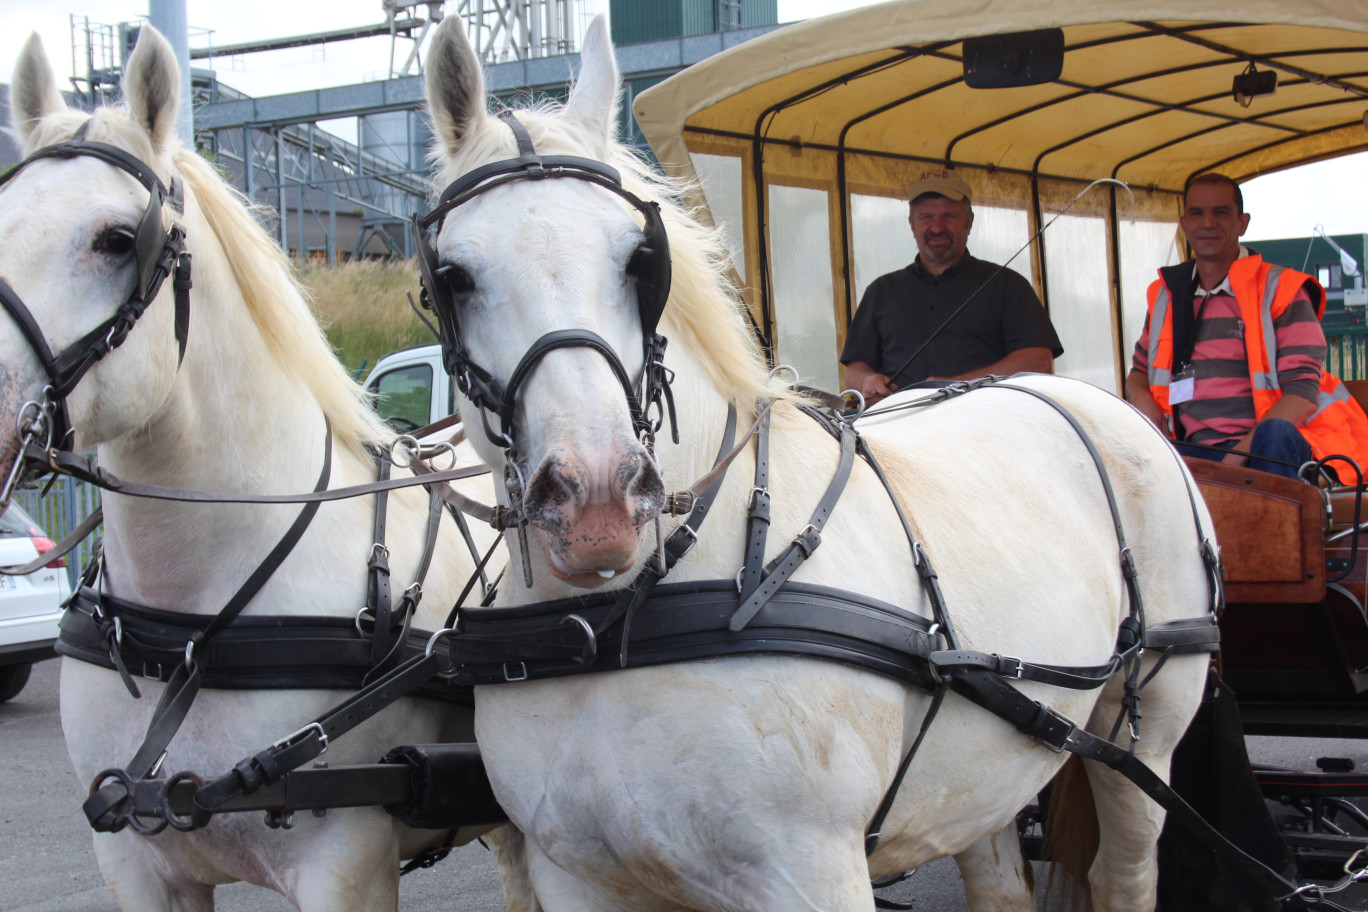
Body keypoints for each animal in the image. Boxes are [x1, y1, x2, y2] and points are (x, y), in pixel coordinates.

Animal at [421, 16, 1214, 912]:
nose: (596, 503)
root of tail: (1086, 395)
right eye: (452, 276)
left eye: (639, 260)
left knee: (1125, 867)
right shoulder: (577, 876)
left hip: (1144, 727)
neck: (618, 620)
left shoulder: (811, 871)